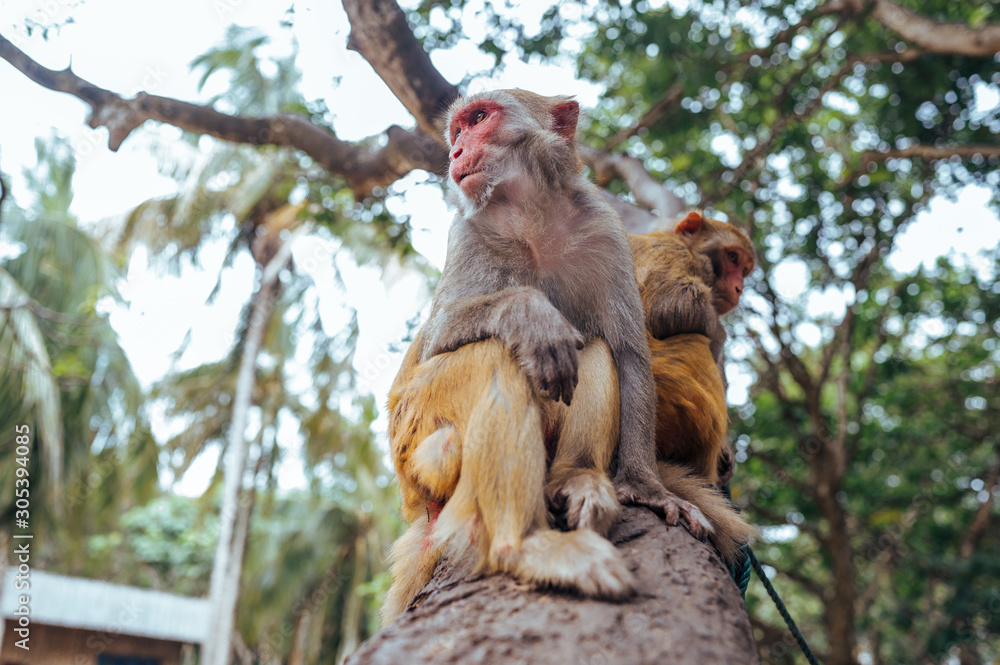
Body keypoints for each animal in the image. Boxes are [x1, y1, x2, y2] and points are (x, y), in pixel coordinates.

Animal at [380, 89, 681, 625]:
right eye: (457, 130)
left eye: (479, 118)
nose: (455, 153)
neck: (531, 214)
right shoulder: (465, 234)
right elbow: (437, 341)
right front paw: (527, 312)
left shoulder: (605, 227)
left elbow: (628, 355)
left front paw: (644, 486)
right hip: (416, 443)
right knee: (497, 356)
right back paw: (522, 546)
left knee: (592, 347)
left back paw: (574, 479)